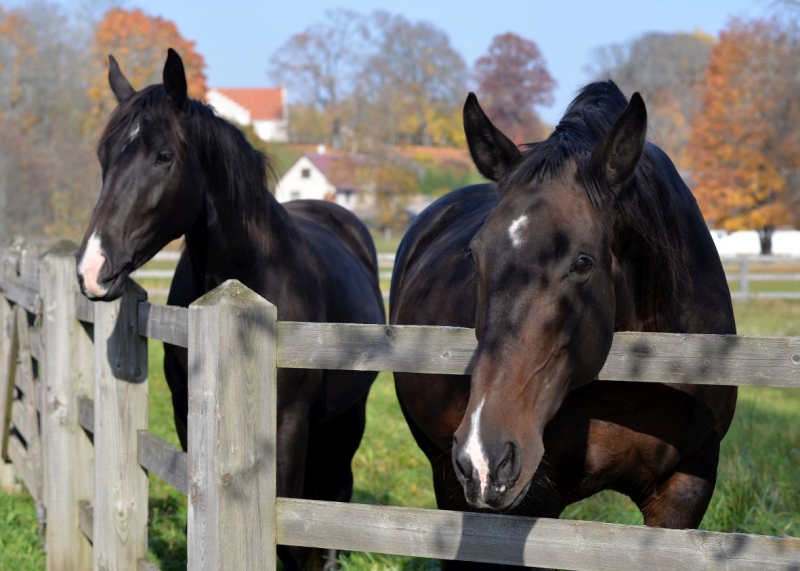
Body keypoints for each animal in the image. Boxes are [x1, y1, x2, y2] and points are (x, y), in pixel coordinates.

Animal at [76, 50, 386, 571]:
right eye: (103, 157)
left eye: (164, 156)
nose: (92, 269)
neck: (250, 274)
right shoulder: (186, 413)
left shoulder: (289, 424)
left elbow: (292, 538)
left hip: (348, 418)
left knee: (335, 494)